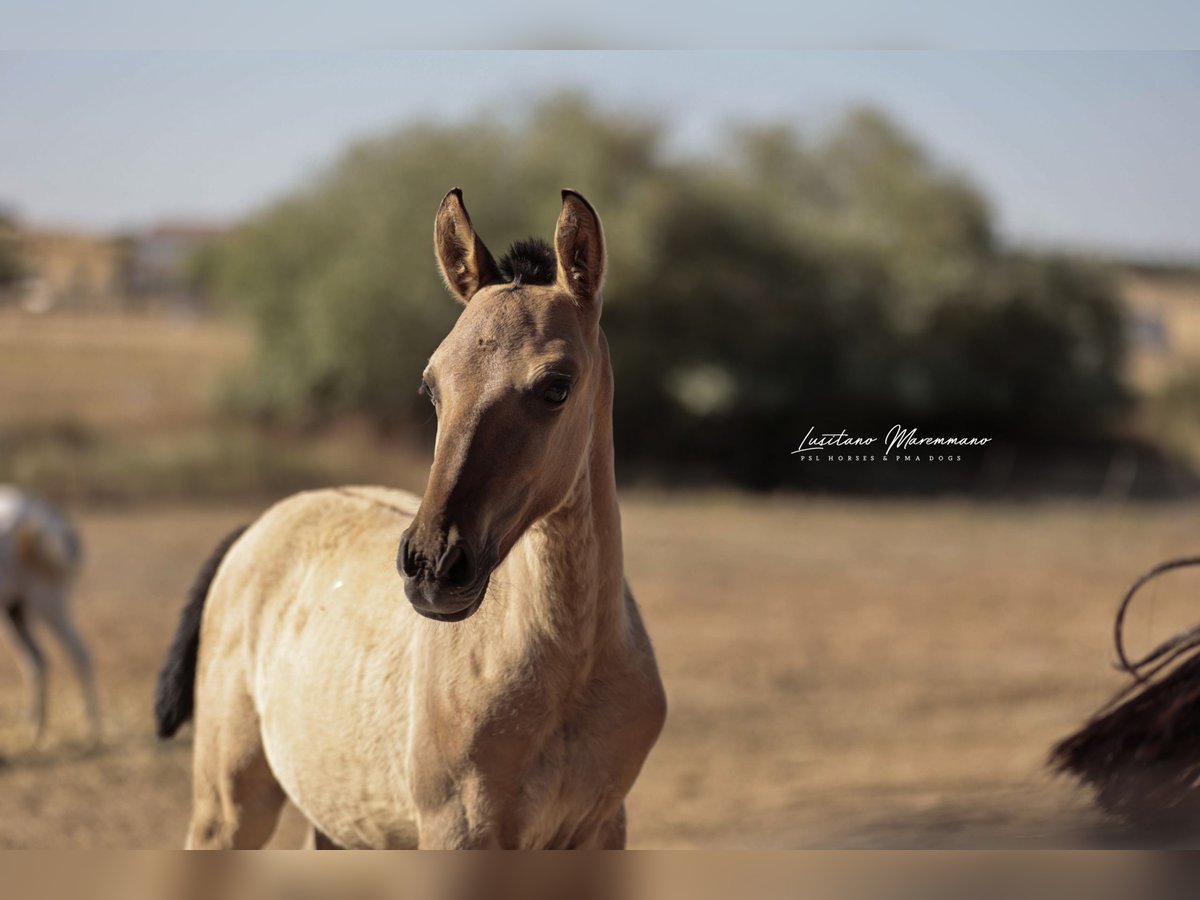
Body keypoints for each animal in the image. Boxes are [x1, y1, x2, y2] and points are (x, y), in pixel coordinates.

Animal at [0, 486, 100, 745]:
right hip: (15, 610)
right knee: (36, 660)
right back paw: (35, 730)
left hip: (48, 603)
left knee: (79, 652)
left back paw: (92, 731)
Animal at [155, 189, 667, 849]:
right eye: (431, 386)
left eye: (556, 387)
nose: (431, 566)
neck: (568, 673)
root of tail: (256, 530)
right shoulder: (458, 831)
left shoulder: (601, 828)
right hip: (228, 809)